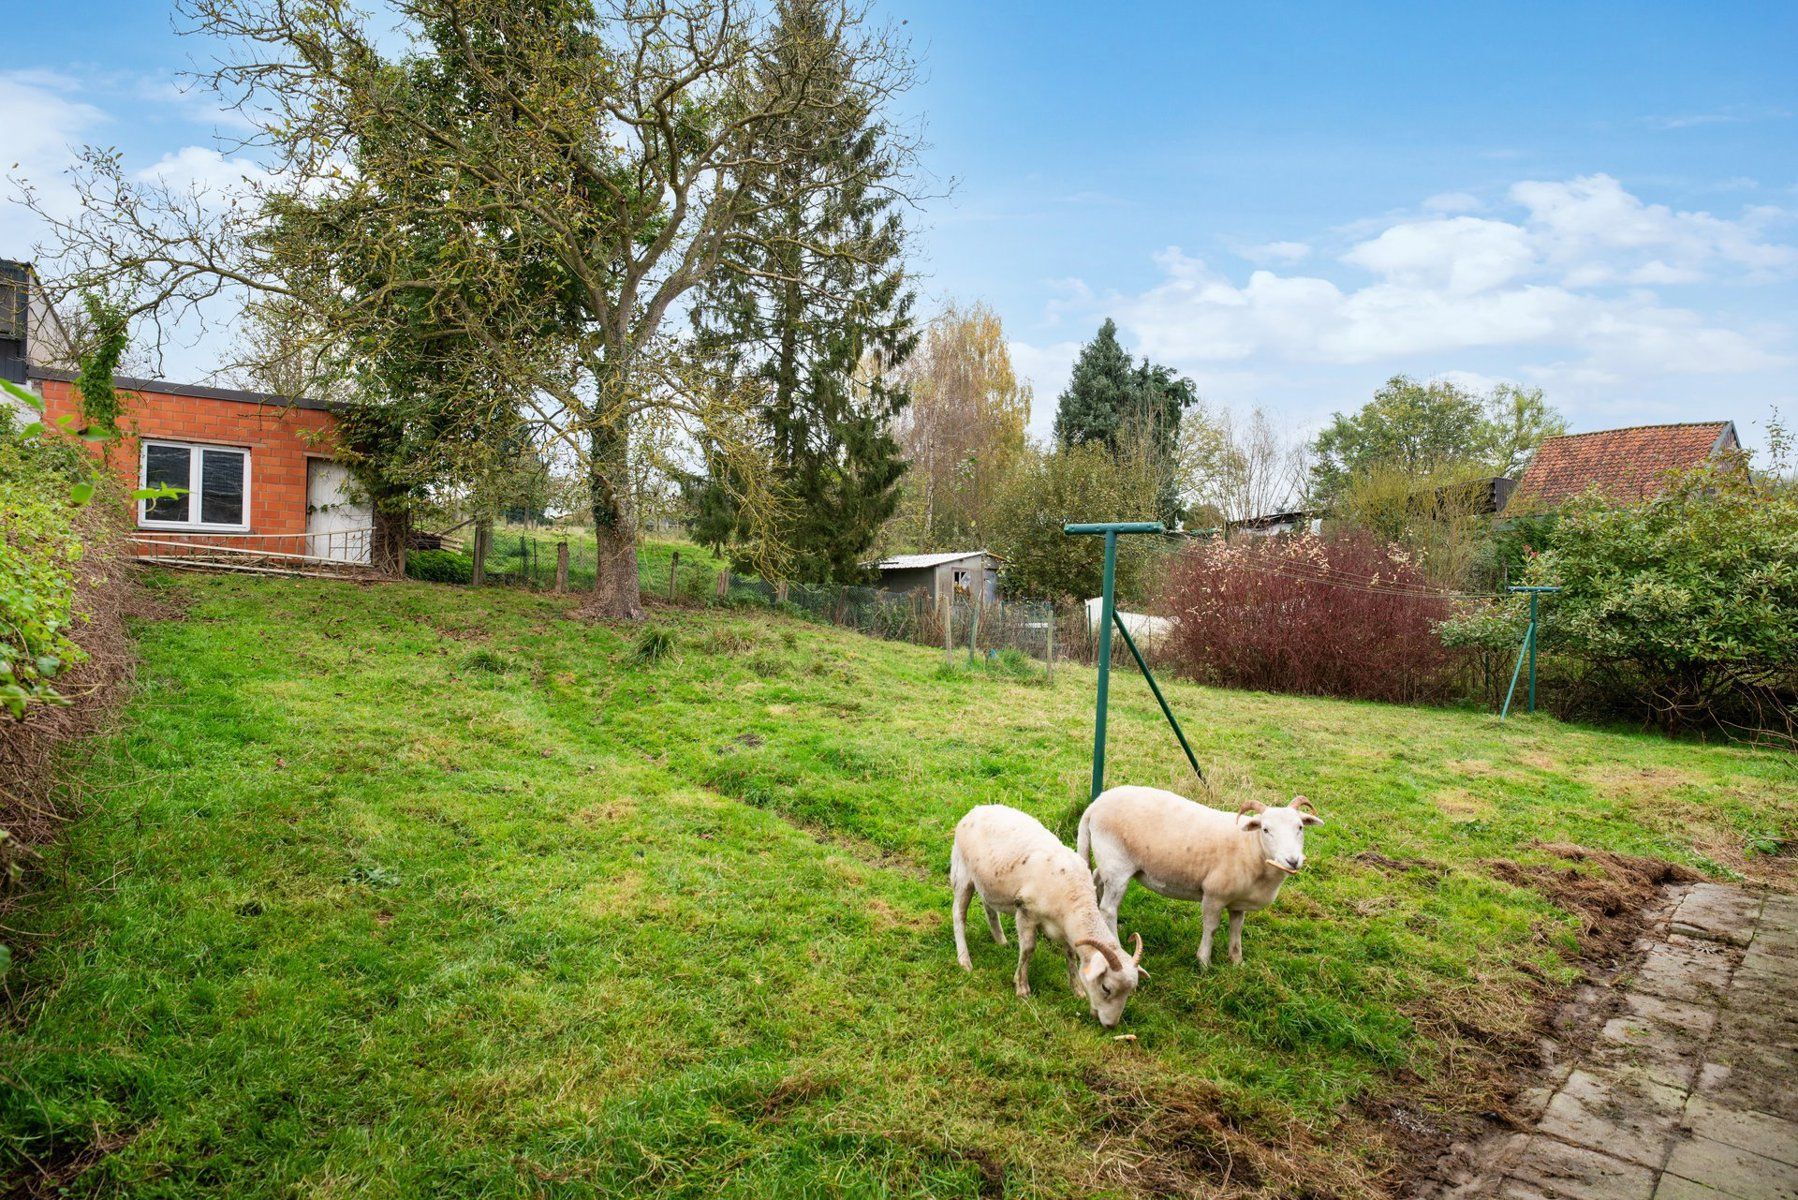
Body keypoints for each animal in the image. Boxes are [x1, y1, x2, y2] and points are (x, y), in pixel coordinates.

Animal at [949, 802, 1143, 1029]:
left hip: (988, 882)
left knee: (989, 906)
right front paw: (1022, 987)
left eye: (1129, 992)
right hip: (962, 873)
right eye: (1106, 988)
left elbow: (1070, 956)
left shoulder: (1065, 928)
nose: (1111, 1026)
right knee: (958, 915)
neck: (1075, 899)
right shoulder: (1025, 911)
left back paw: (1001, 941)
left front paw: (1077, 989)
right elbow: (1028, 950)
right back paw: (964, 960)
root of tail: (976, 809)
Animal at [1078, 784, 1323, 971]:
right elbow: (1211, 928)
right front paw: (1204, 962)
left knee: (1095, 879)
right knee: (1109, 909)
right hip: (1117, 866)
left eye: (1300, 827)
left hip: (1109, 863)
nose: (1293, 861)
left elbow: (1237, 929)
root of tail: (1095, 804)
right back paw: (1117, 945)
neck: (1251, 848)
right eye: (1265, 829)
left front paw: (1237, 961)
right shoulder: (1213, 895)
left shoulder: (1238, 902)